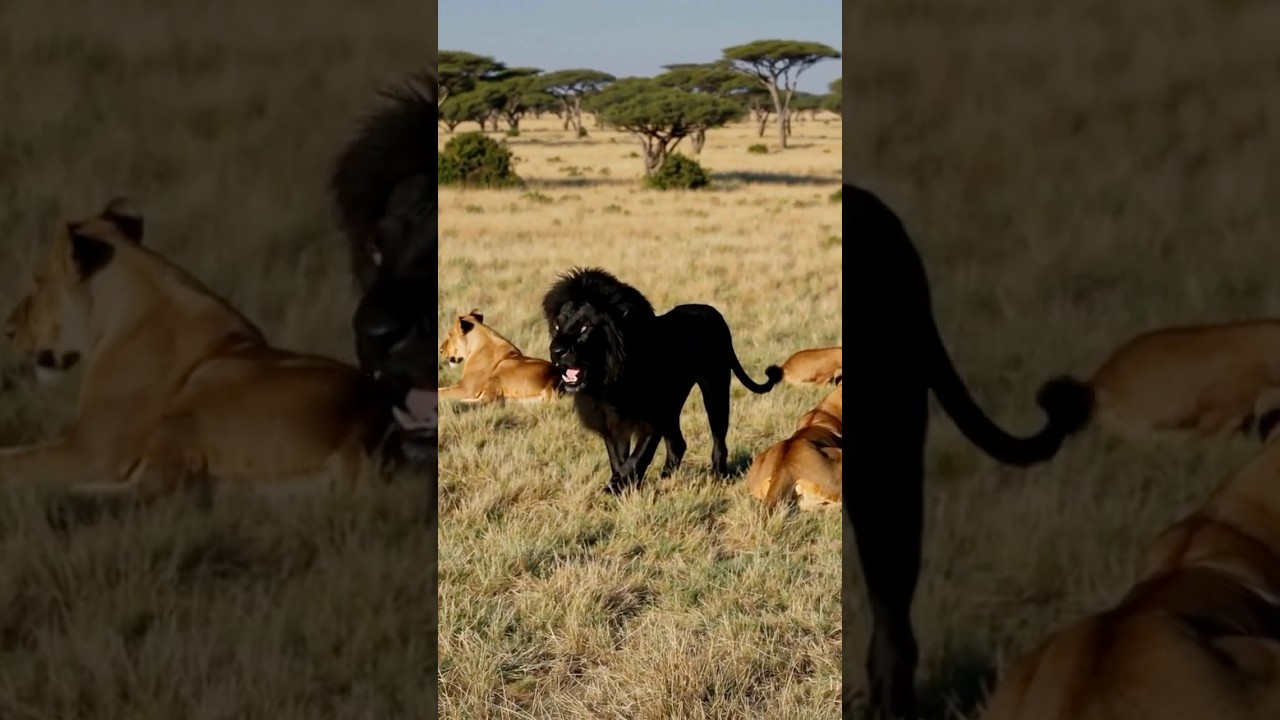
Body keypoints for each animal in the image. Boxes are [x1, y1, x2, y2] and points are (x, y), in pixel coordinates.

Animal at [0, 198, 416, 499]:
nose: (8, 330)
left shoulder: (92, 450)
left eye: (38, 282)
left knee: (160, 489)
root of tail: (361, 434)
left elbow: (15, 459)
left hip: (207, 379)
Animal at [542, 266, 783, 494]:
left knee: (718, 440)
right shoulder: (611, 420)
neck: (609, 379)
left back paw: (718, 476)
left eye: (584, 327)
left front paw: (617, 485)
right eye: (557, 326)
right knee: (677, 444)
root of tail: (713, 312)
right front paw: (626, 487)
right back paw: (666, 478)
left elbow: (637, 458)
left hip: (715, 390)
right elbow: (618, 458)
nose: (556, 351)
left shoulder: (653, 415)